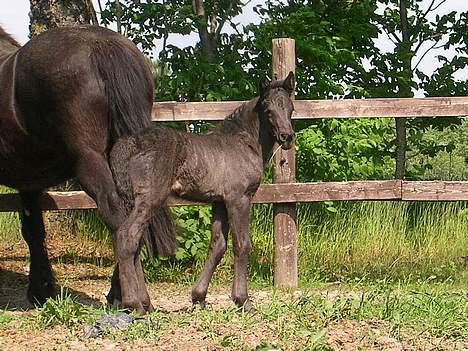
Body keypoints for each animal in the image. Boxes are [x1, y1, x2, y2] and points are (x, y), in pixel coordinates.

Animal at [0, 24, 176, 310]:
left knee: (117, 216)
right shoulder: (29, 183)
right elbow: (34, 231)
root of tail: (101, 45)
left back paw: (134, 299)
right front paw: (42, 290)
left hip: (90, 161)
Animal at [109, 73, 292, 312]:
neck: (245, 142)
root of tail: (128, 145)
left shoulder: (220, 202)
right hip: (149, 200)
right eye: (268, 109)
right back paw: (134, 303)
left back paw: (145, 303)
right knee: (127, 236)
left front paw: (199, 297)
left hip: (131, 201)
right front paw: (243, 300)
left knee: (133, 242)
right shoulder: (239, 199)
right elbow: (242, 245)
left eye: (290, 107)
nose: (287, 136)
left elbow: (217, 246)